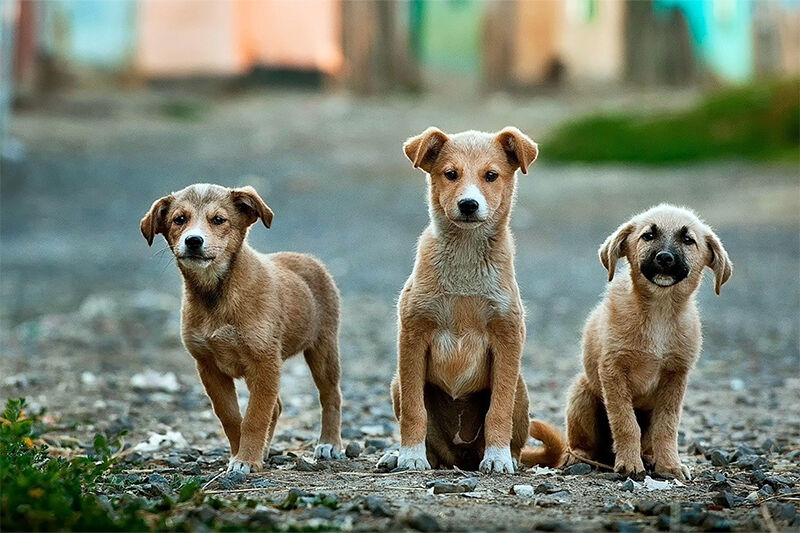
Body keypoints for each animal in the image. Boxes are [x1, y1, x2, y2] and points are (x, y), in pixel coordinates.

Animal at [142, 183, 342, 470]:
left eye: (218, 220)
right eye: (179, 219)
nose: (193, 241)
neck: (216, 295)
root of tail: (308, 259)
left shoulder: (264, 361)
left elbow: (256, 416)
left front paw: (246, 459)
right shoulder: (208, 366)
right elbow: (231, 417)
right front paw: (240, 454)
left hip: (323, 348)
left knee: (330, 396)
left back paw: (329, 443)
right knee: (277, 407)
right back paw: (266, 450)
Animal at [380, 127, 536, 472]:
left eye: (491, 175)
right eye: (450, 174)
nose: (468, 204)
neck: (465, 258)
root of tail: (461, 456)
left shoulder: (507, 337)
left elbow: (498, 410)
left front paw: (497, 458)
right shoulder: (413, 335)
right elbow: (414, 410)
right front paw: (410, 456)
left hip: (520, 388)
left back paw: (506, 456)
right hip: (397, 383)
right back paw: (400, 455)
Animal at [528, 203, 736, 478]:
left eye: (688, 240)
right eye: (648, 235)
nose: (664, 258)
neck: (659, 312)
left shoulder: (676, 376)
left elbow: (667, 426)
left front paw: (669, 465)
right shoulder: (613, 370)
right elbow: (625, 422)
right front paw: (629, 463)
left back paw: (649, 458)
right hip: (581, 394)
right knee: (580, 443)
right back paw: (580, 457)